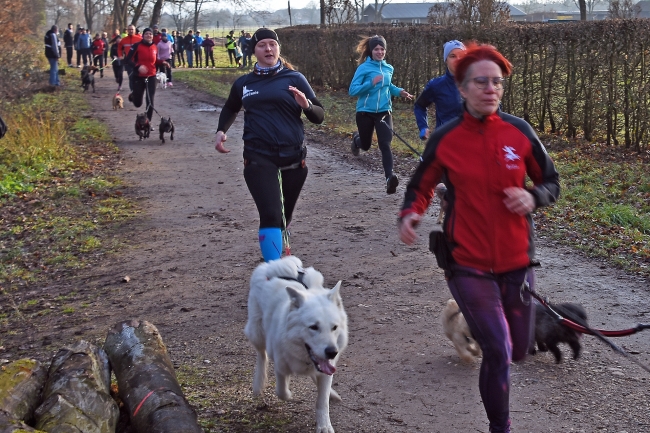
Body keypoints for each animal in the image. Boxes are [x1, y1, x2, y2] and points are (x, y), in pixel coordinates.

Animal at [243, 255, 346, 430]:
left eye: (334, 327)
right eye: (313, 327)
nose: (332, 352)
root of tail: (274, 264)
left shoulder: (326, 370)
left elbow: (322, 402)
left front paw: (324, 426)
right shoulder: (280, 367)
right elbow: (282, 392)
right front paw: (289, 394)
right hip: (257, 333)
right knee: (261, 355)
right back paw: (258, 383)